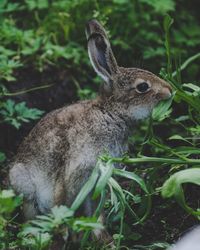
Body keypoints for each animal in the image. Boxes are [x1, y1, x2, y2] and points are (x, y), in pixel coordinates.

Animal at [9, 19, 172, 244]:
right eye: (142, 87)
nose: (170, 90)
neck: (110, 113)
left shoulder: (96, 182)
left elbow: (95, 214)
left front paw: (105, 240)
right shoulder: (73, 170)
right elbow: (62, 204)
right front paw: (65, 233)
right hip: (24, 184)